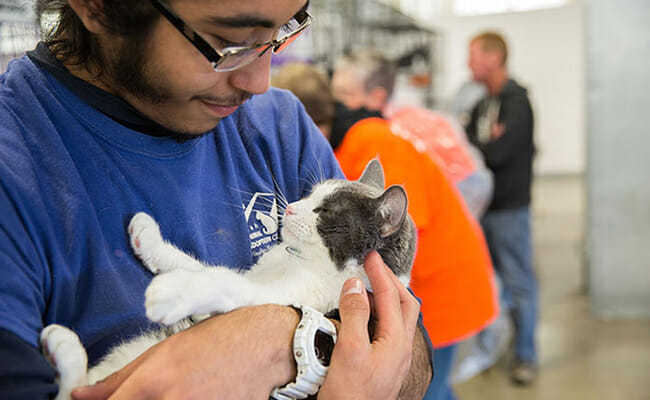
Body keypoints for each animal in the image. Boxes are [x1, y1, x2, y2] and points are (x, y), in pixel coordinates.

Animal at [40, 158, 416, 398]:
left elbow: (224, 282)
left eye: (324, 212)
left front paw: (173, 291)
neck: (301, 262)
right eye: (310, 195)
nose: (291, 206)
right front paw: (151, 241)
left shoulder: (289, 295)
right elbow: (201, 267)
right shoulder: (258, 273)